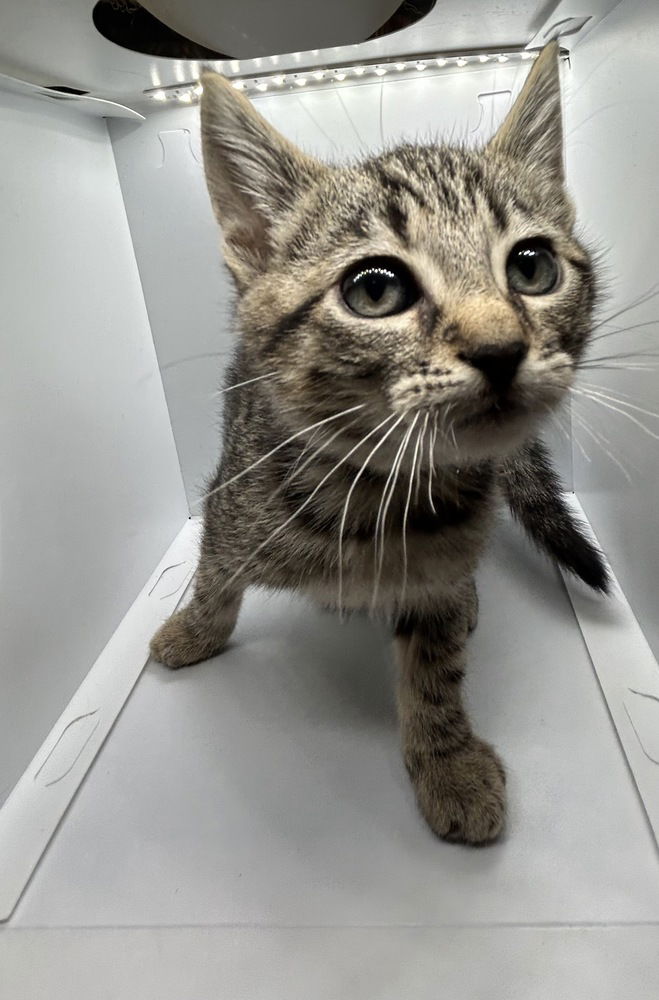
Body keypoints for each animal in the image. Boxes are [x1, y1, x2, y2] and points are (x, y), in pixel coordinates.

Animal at [150, 43, 608, 844]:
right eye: (374, 289)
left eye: (532, 267)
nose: (500, 350)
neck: (377, 493)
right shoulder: (229, 501)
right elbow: (213, 578)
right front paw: (194, 630)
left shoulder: (441, 573)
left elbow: (435, 667)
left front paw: (445, 757)